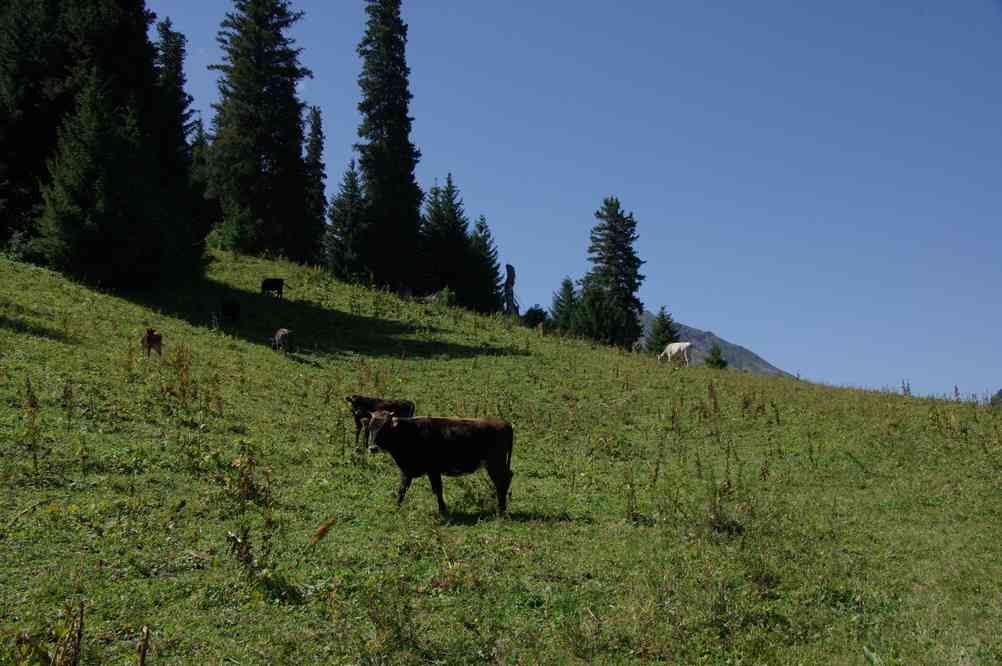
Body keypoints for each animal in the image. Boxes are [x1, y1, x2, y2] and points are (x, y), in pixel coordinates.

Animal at [364, 410, 513, 512]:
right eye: (370, 428)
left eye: (385, 428)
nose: (372, 448)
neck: (409, 432)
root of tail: (505, 423)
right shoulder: (406, 471)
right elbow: (402, 489)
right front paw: (396, 507)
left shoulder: (433, 470)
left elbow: (437, 489)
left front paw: (443, 509)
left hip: (495, 464)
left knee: (501, 482)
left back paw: (501, 508)